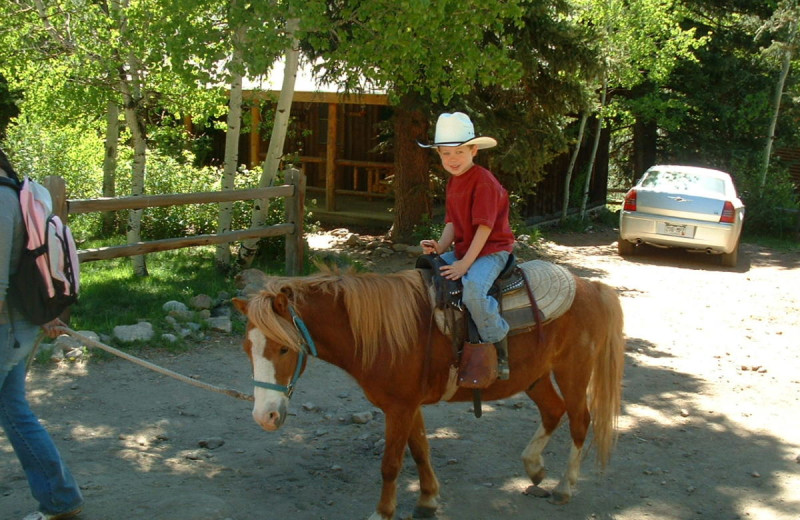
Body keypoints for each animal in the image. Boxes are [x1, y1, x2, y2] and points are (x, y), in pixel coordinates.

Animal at [231, 264, 624, 520]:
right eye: (247, 348)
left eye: (284, 348)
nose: (264, 416)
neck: (384, 333)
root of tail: (591, 286)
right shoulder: (407, 406)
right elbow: (420, 451)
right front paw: (428, 501)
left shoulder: (399, 408)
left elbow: (391, 464)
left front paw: (383, 513)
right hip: (535, 376)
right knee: (553, 411)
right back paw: (534, 467)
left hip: (572, 371)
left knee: (580, 420)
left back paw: (564, 486)